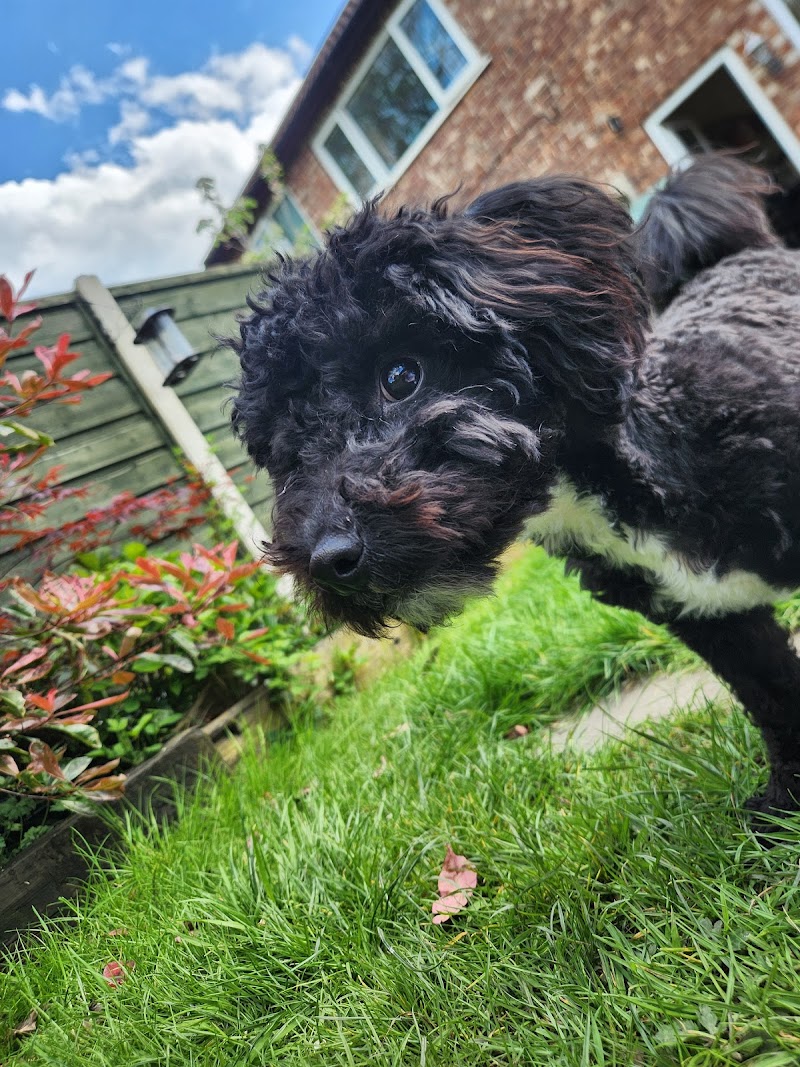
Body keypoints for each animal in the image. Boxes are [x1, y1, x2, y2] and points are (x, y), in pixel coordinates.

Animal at [231, 155, 800, 820]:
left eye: (400, 376)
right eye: (284, 450)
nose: (328, 560)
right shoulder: (711, 616)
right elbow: (775, 697)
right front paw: (785, 805)